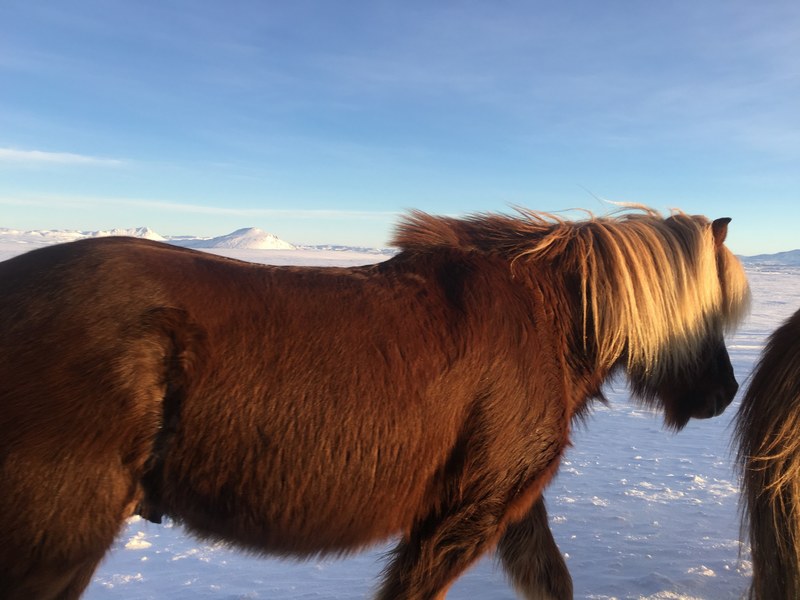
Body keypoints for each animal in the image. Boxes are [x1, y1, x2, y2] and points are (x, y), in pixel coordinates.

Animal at [0, 206, 750, 600]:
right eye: (707, 309)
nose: (725, 394)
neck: (547, 321)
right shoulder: (465, 512)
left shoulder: (508, 501)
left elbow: (551, 578)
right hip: (59, 538)